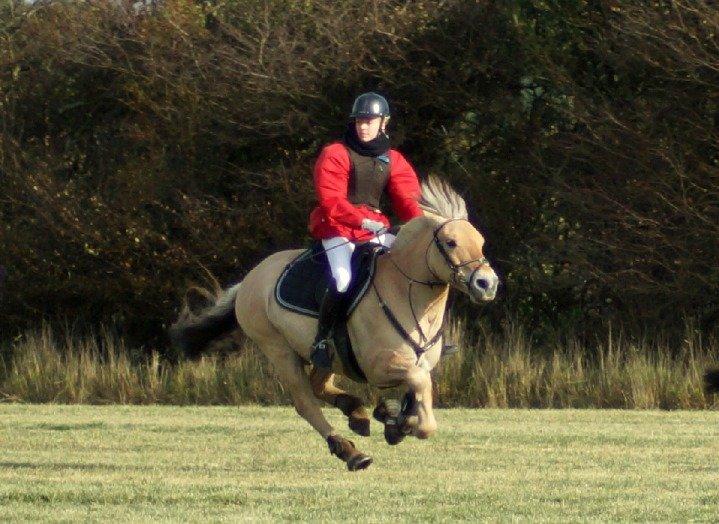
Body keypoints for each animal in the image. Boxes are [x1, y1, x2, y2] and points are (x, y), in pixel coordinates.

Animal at [169, 176, 498, 470]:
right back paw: (350, 451)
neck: (409, 297)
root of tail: (251, 278)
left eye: (481, 242)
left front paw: (391, 417)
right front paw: (403, 423)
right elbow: (420, 389)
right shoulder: (380, 367)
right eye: (451, 242)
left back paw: (357, 414)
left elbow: (418, 388)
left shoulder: (415, 364)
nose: (487, 284)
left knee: (319, 384)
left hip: (326, 355)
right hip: (278, 350)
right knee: (305, 402)